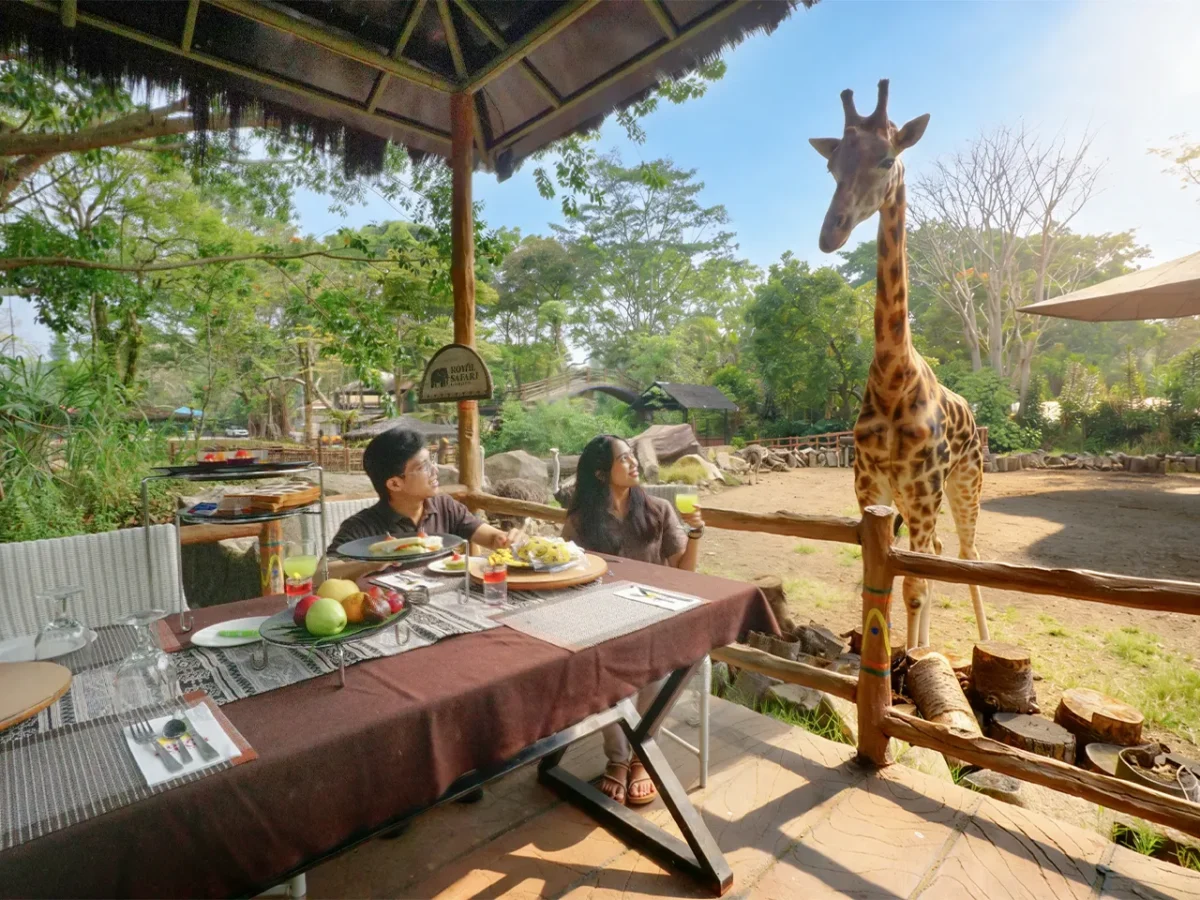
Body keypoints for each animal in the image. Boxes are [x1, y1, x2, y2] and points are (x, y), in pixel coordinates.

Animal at [809, 79, 989, 650]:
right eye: (831, 165)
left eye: (887, 158)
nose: (831, 233)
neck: (892, 375)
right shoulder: (870, 489)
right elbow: (889, 582)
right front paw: (908, 655)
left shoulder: (922, 490)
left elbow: (915, 587)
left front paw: (911, 661)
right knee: (939, 558)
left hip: (965, 482)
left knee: (966, 556)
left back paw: (976, 640)